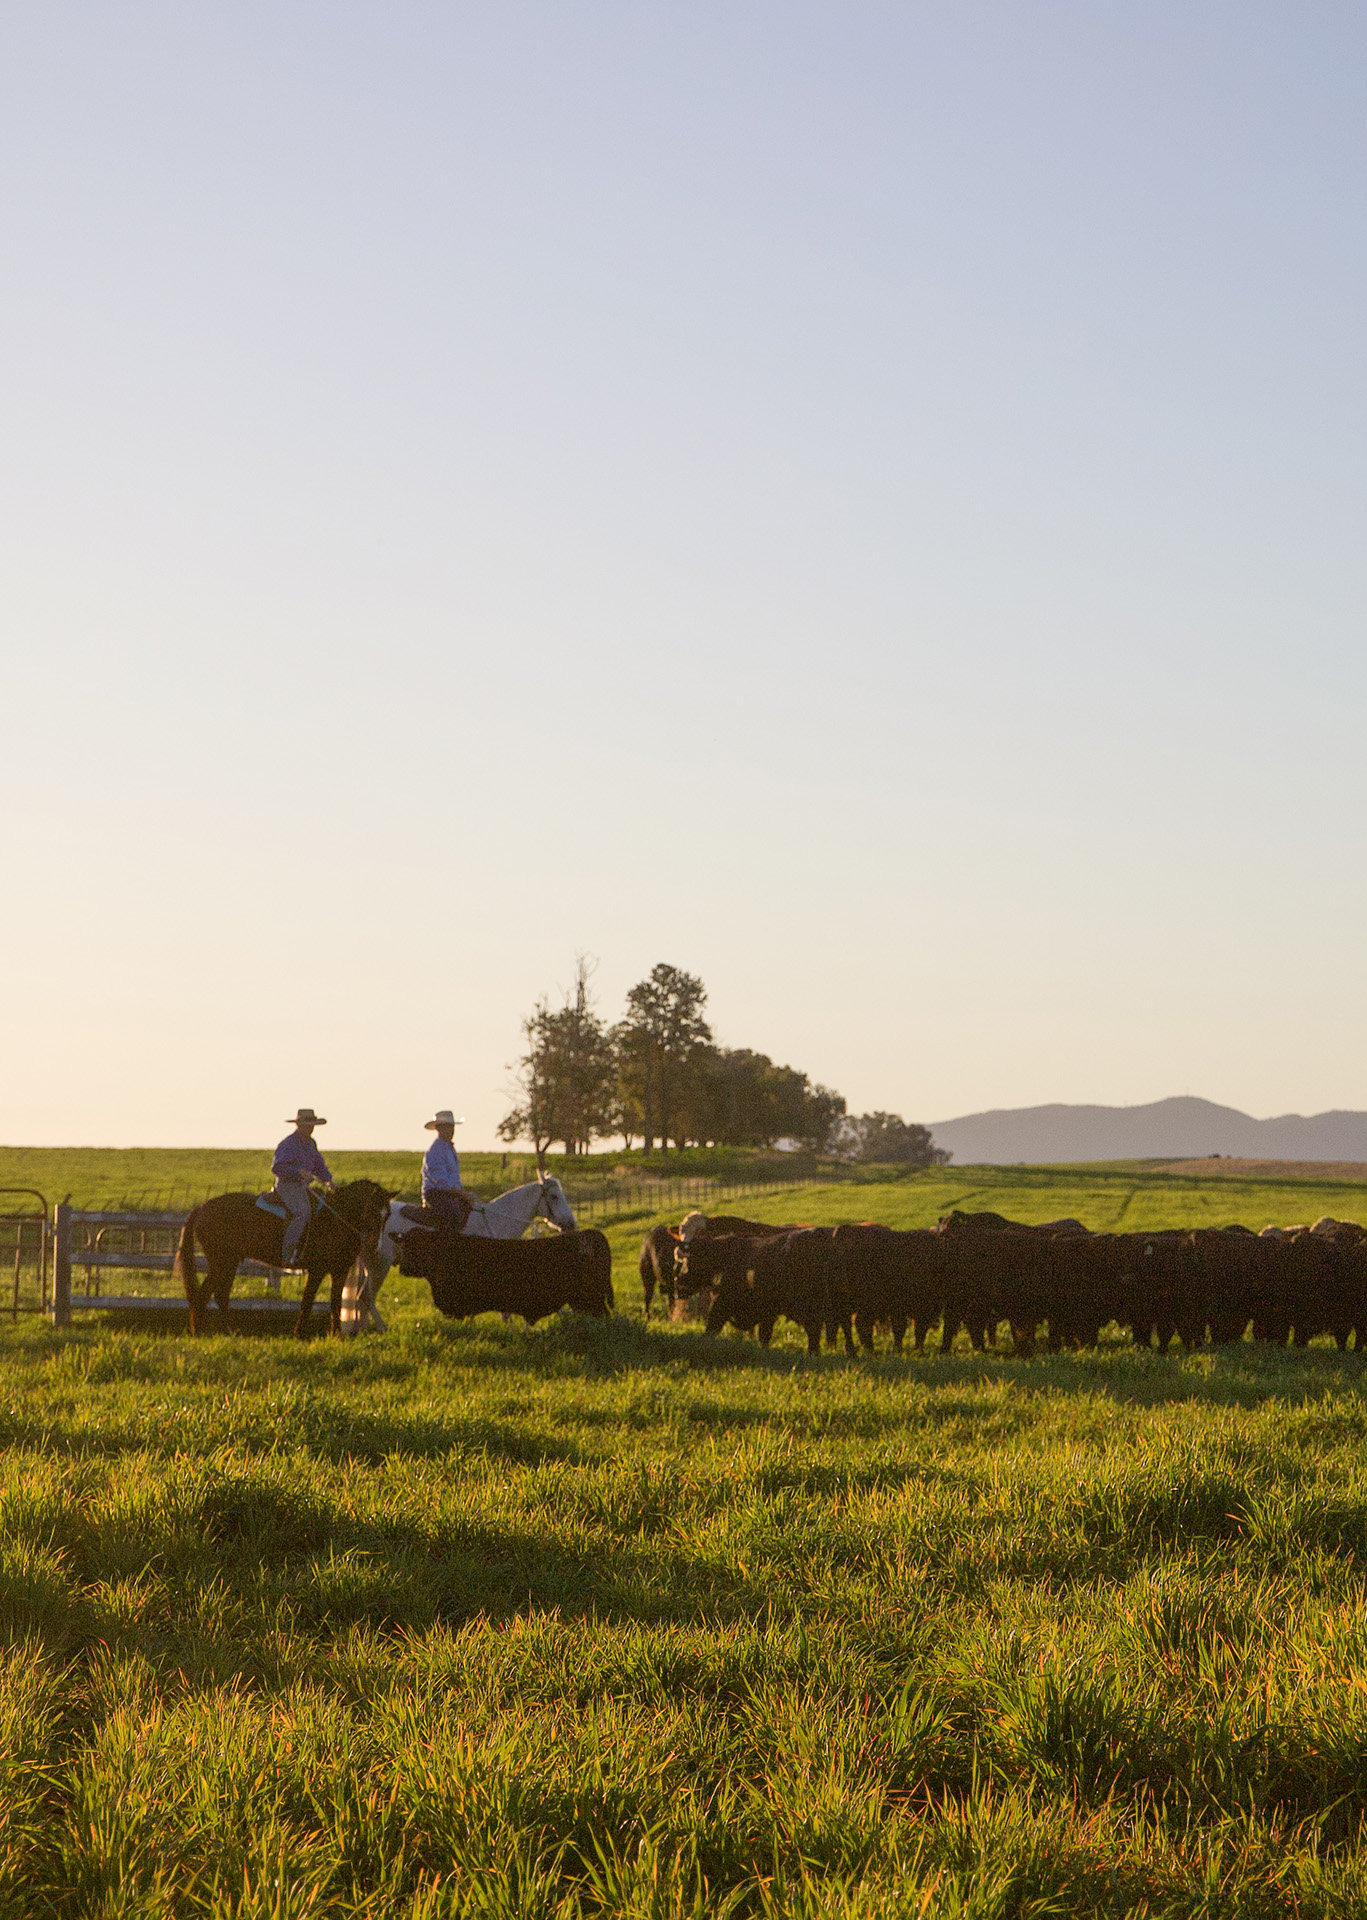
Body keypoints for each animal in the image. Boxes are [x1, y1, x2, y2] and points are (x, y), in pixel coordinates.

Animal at [173, 1167, 389, 1336]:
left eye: (387, 1216)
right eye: (371, 1211)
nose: (375, 1245)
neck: (337, 1218)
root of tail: (202, 1207)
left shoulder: (339, 1271)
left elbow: (335, 1302)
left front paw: (335, 1334)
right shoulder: (317, 1270)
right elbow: (307, 1300)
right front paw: (299, 1333)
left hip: (228, 1263)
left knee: (219, 1295)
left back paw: (230, 1331)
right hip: (222, 1262)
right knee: (205, 1294)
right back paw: (200, 1331)